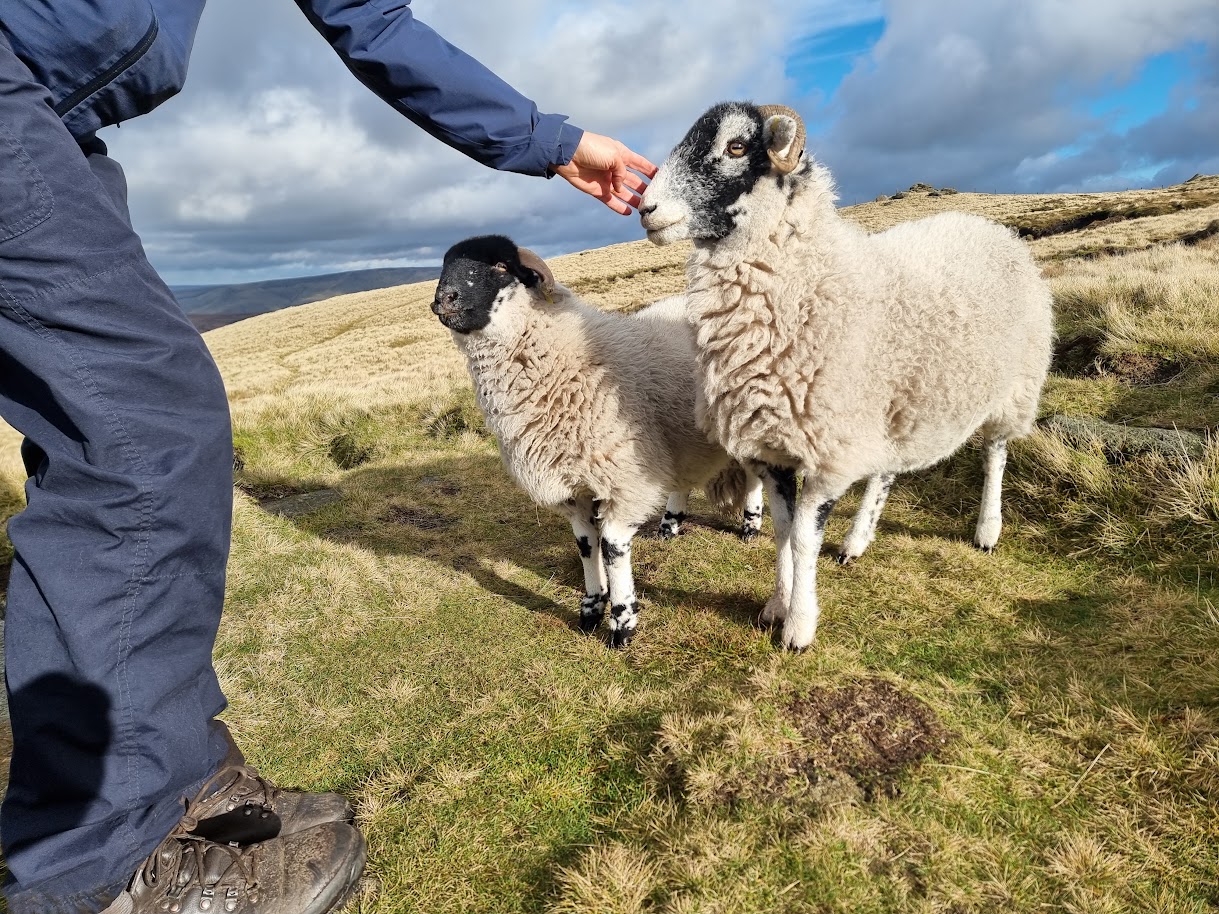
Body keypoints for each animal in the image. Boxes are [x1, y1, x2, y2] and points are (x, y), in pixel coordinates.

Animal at [430, 234, 763, 647]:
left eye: (502, 266)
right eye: (445, 266)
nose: (444, 298)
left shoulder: (622, 479)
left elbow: (612, 547)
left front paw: (622, 623)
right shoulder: (573, 488)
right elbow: (586, 545)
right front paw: (591, 607)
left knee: (755, 473)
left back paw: (751, 524)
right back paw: (670, 524)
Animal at [639, 101, 1054, 651]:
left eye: (736, 146)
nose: (645, 208)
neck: (809, 281)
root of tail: (987, 225)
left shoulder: (828, 453)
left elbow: (803, 539)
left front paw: (798, 627)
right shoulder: (773, 449)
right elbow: (781, 533)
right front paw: (776, 605)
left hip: (1014, 387)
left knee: (995, 455)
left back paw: (987, 530)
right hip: (896, 402)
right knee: (885, 469)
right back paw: (857, 540)